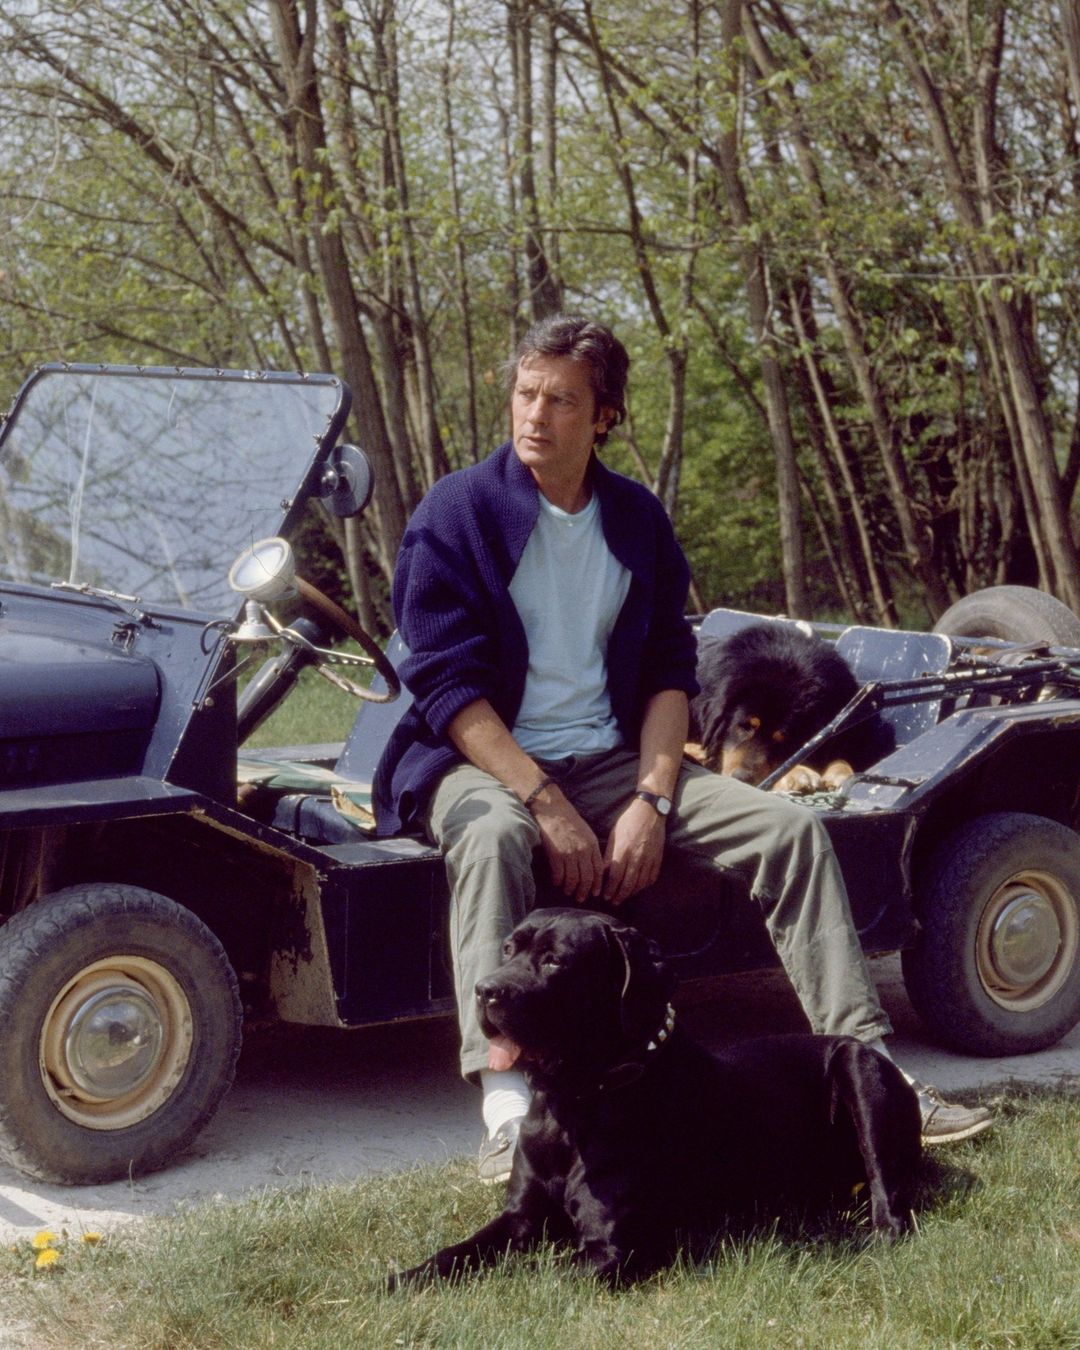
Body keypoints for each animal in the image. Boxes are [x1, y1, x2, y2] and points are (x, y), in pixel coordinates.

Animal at [391, 907, 918, 1285]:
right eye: (508, 948)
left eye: (555, 960)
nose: (485, 990)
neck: (573, 1104)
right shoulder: (520, 1216)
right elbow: (456, 1253)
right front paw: (402, 1279)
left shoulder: (610, 1249)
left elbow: (532, 1278)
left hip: (859, 1068)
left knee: (888, 1198)